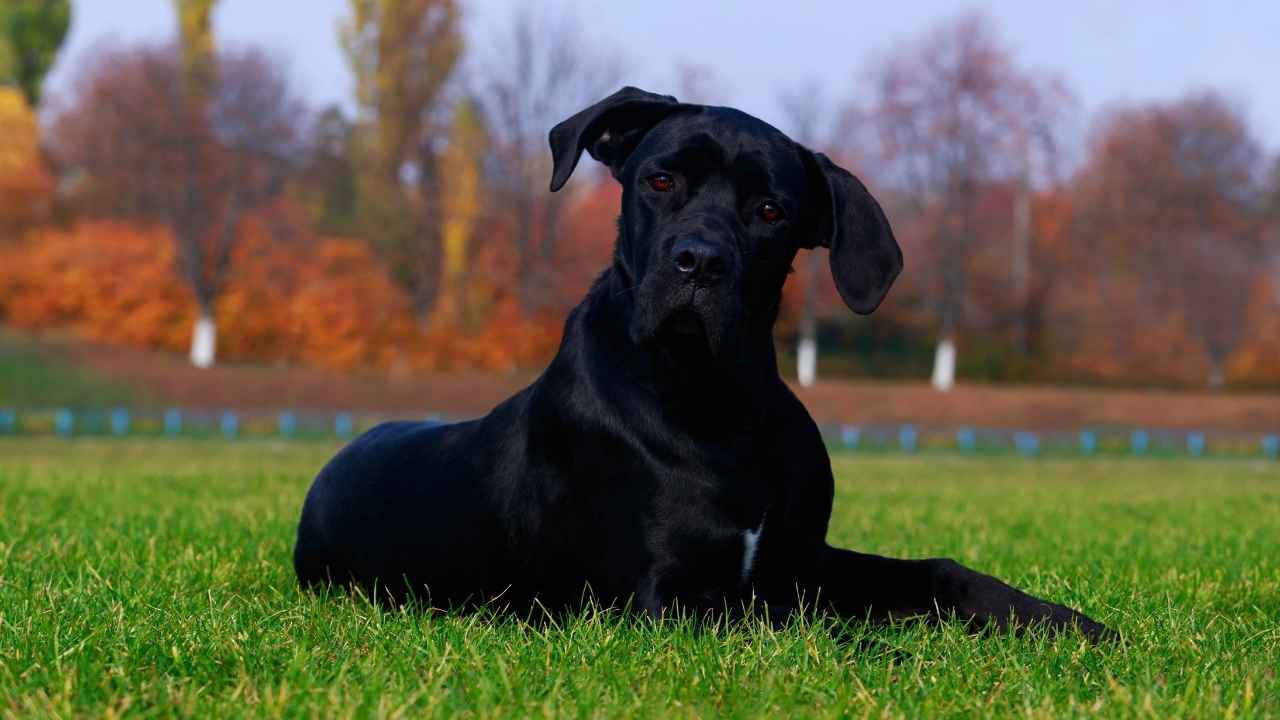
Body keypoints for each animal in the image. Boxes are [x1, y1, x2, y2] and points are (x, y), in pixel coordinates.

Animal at [296, 85, 1111, 638]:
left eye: (771, 211)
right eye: (660, 180)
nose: (699, 261)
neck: (717, 396)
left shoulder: (801, 559)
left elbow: (939, 573)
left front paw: (1063, 624)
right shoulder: (672, 595)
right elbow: (808, 628)